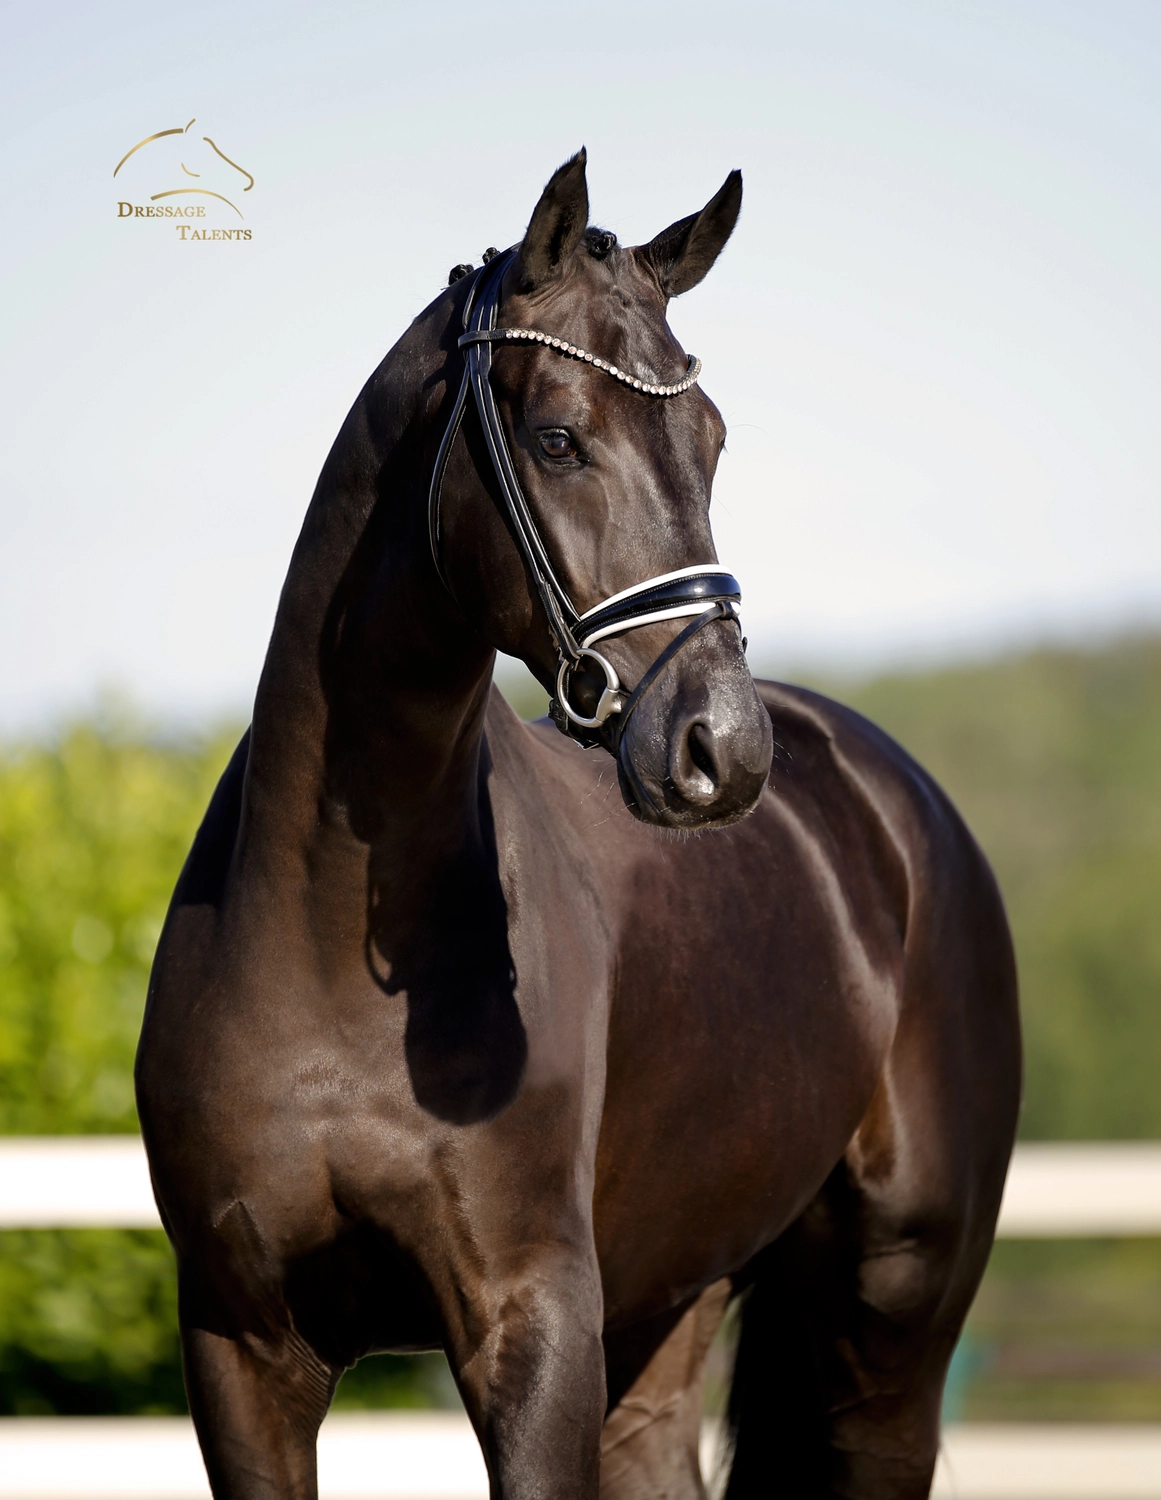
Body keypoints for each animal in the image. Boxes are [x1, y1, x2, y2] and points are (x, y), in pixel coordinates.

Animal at [136, 149, 1020, 1500]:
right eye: (558, 439)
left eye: (712, 440)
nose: (721, 748)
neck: (322, 931)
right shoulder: (244, 1349)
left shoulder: (533, 1329)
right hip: (667, 1314)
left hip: (892, 1338)